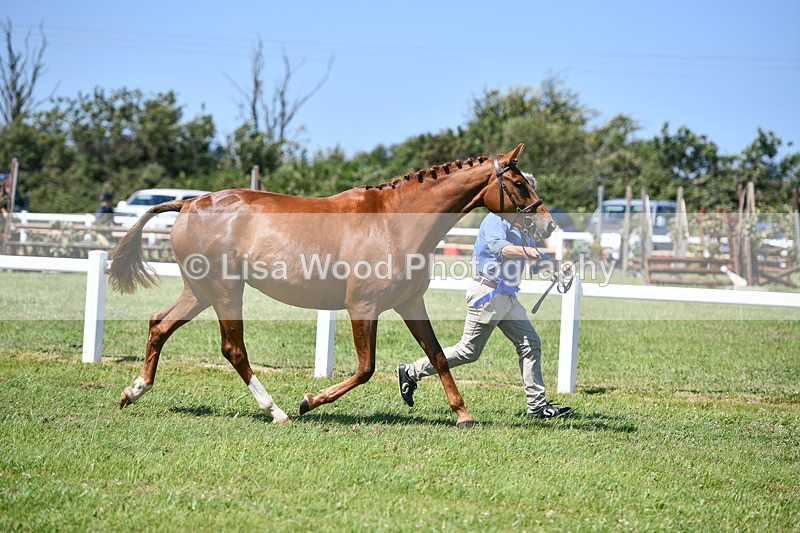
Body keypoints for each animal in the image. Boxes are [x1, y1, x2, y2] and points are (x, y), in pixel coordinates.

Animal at [108, 143, 556, 427]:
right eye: (519, 184)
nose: (548, 225)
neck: (395, 222)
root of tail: (188, 203)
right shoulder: (363, 307)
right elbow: (365, 368)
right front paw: (309, 401)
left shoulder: (410, 304)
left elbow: (438, 355)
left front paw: (463, 415)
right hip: (225, 292)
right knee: (233, 348)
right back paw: (277, 411)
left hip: (200, 292)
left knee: (159, 324)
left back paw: (134, 391)